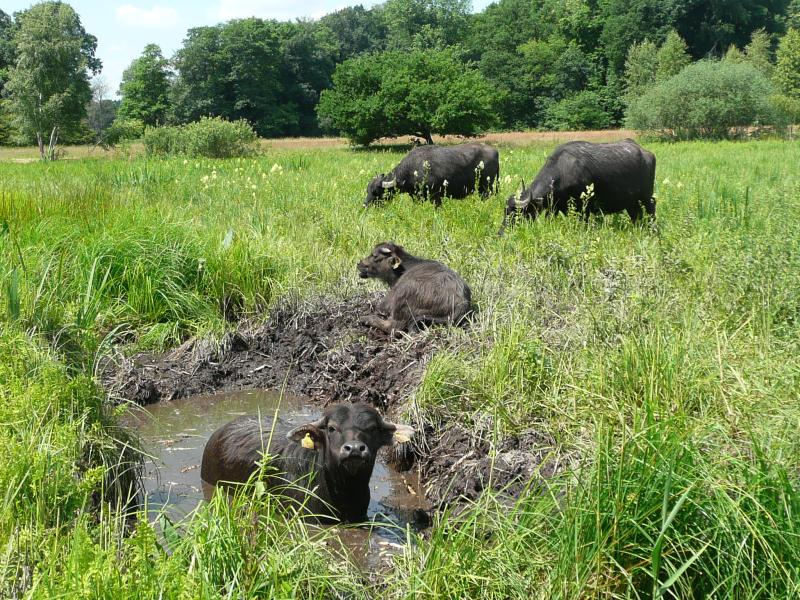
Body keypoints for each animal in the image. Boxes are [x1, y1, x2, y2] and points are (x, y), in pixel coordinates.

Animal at [364, 142, 500, 206]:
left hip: (485, 187)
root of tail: (495, 151)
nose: (365, 205)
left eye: (376, 192)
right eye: (367, 190)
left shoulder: (435, 196)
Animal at [500, 139, 656, 233]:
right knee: (636, 214)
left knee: (651, 208)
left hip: (646, 196)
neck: (562, 171)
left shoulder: (584, 208)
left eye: (515, 213)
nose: (501, 232)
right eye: (505, 211)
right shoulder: (555, 208)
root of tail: (646, 153)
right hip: (631, 201)